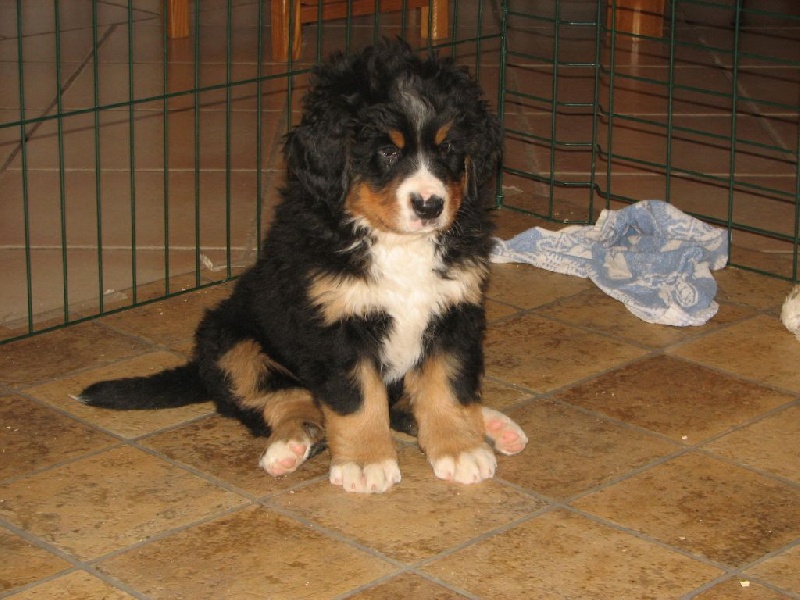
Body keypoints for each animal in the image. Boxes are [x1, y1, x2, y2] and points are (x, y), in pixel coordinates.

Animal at [78, 40, 527, 493]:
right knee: (282, 402)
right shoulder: (336, 326)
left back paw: (491, 424)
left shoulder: (453, 311)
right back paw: (290, 446)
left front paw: (459, 448)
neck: (394, 244)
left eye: (449, 148)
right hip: (231, 341)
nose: (430, 205)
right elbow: (358, 399)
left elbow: (446, 387)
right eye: (386, 151)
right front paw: (366, 463)